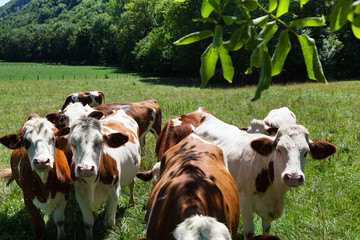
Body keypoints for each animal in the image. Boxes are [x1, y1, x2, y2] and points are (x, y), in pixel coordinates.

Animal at [56, 109, 141, 240]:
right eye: (73, 143)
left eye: (99, 142)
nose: (85, 169)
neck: (91, 183)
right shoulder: (81, 197)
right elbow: (88, 223)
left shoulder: (114, 194)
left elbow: (109, 223)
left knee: (131, 185)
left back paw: (132, 202)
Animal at [194, 114, 338, 238]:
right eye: (279, 149)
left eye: (306, 152)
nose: (293, 177)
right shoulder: (245, 201)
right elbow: (249, 231)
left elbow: (267, 228)